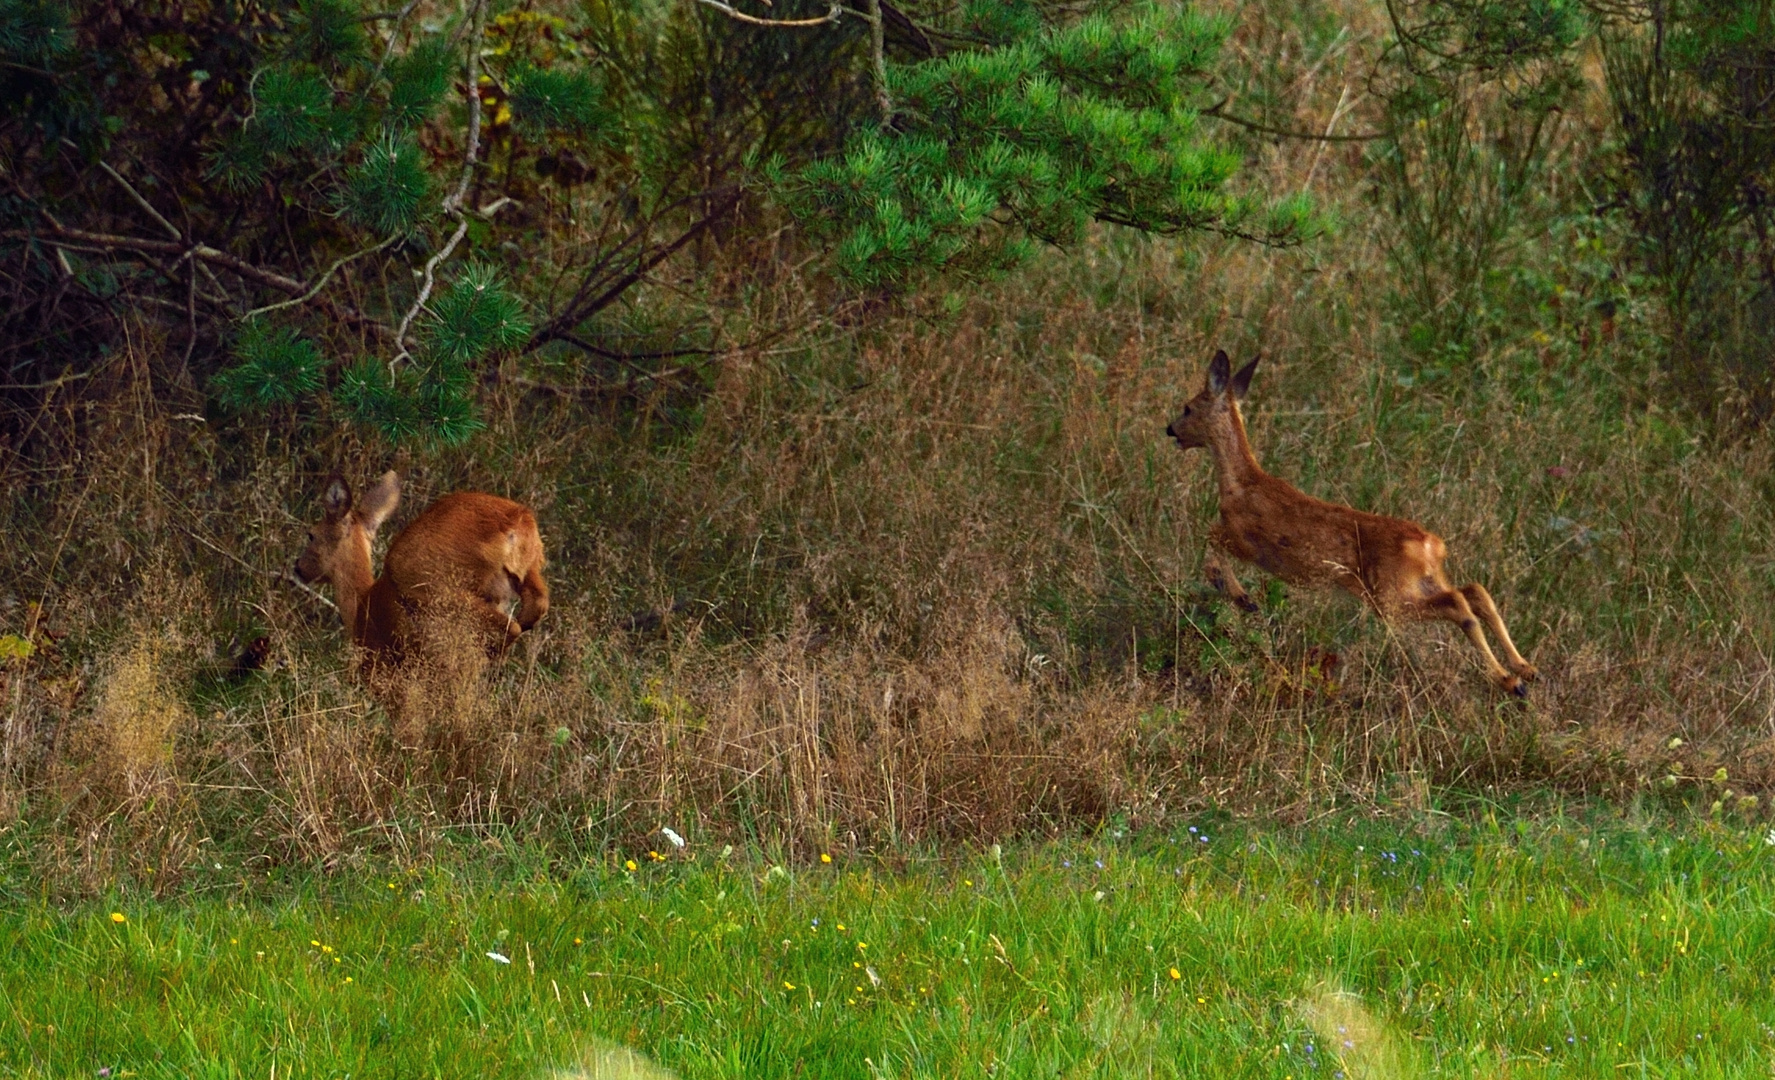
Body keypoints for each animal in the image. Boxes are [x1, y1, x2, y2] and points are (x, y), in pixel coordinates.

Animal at [291, 472, 546, 675]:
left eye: (311, 534)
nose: (298, 566)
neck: (361, 603)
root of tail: (516, 522)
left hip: (436, 587)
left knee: (509, 625)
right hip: (528, 570)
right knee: (536, 606)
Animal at [1171, 349, 1533, 696]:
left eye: (1188, 408)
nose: (1170, 429)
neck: (1239, 483)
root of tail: (1432, 545)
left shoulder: (1245, 538)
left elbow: (1208, 537)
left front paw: (1241, 596)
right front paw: (1240, 596)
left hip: (1388, 594)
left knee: (1459, 603)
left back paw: (1511, 682)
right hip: (1422, 581)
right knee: (1475, 591)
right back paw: (1525, 669)